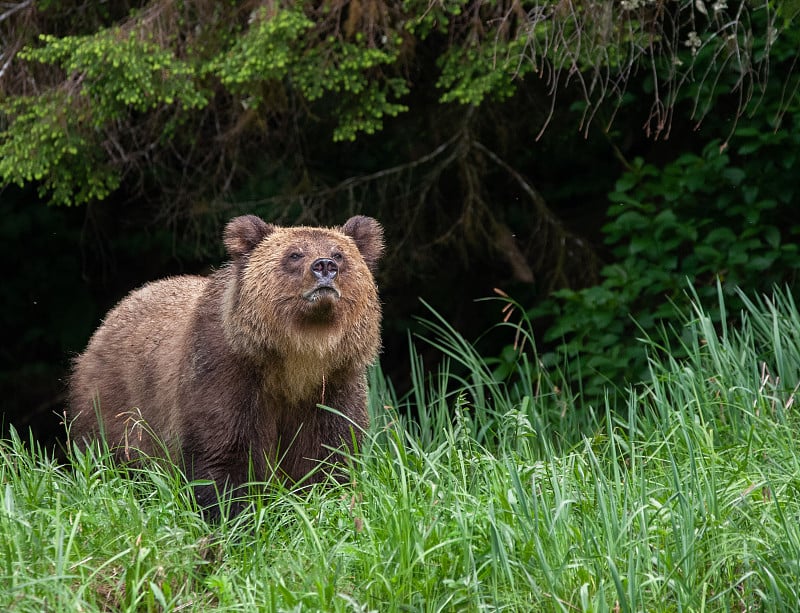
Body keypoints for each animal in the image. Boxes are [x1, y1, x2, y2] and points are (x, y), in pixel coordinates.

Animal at [67, 213, 386, 512]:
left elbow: (328, 455)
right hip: (115, 402)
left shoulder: (335, 381)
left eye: (339, 254)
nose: (324, 266)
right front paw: (233, 515)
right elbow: (223, 452)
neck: (298, 356)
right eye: (294, 254)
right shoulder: (226, 370)